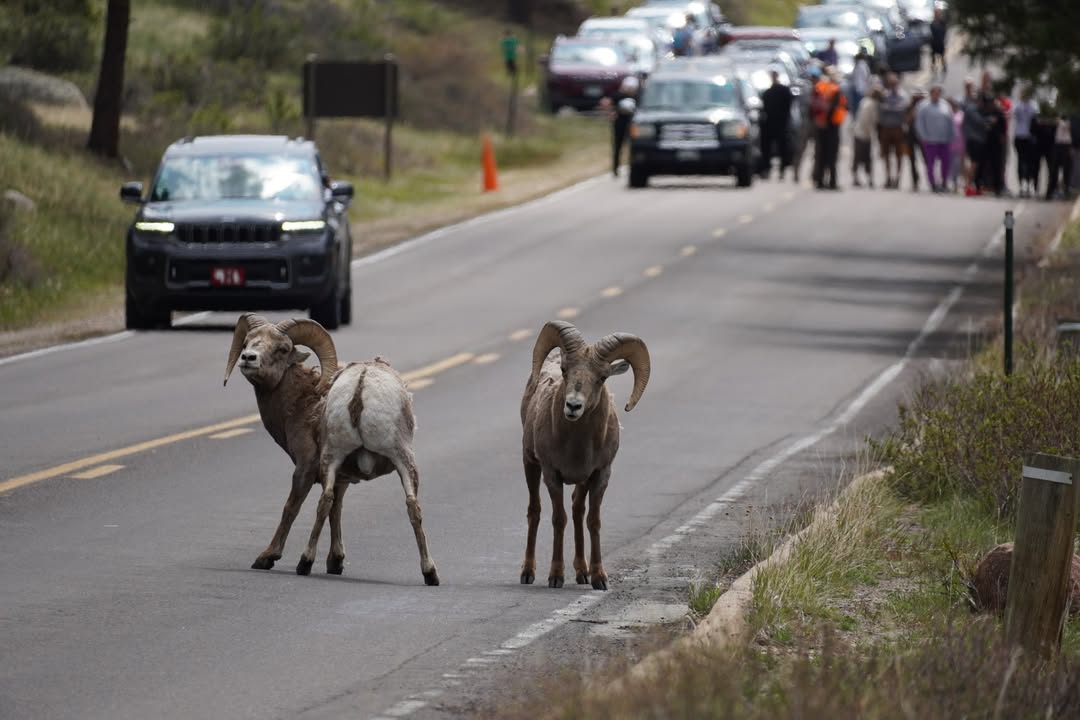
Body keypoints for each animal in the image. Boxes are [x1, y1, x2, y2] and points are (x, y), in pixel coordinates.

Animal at [223, 313, 439, 585]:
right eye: (246, 342)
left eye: (282, 349)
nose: (248, 358)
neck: (302, 404)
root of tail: (361, 384)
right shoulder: (342, 476)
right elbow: (337, 510)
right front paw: (335, 561)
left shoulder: (305, 468)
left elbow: (292, 508)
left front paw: (267, 557)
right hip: (400, 460)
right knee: (412, 506)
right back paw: (430, 573)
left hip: (334, 456)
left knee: (322, 502)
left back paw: (304, 562)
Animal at [519, 320, 651, 591]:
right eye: (564, 370)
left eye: (602, 377)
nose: (573, 406)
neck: (576, 447)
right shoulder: (552, 475)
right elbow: (559, 519)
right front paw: (555, 576)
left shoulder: (600, 475)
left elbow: (593, 520)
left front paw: (599, 578)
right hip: (530, 465)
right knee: (535, 511)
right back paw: (527, 573)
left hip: (581, 481)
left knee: (578, 511)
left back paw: (582, 572)